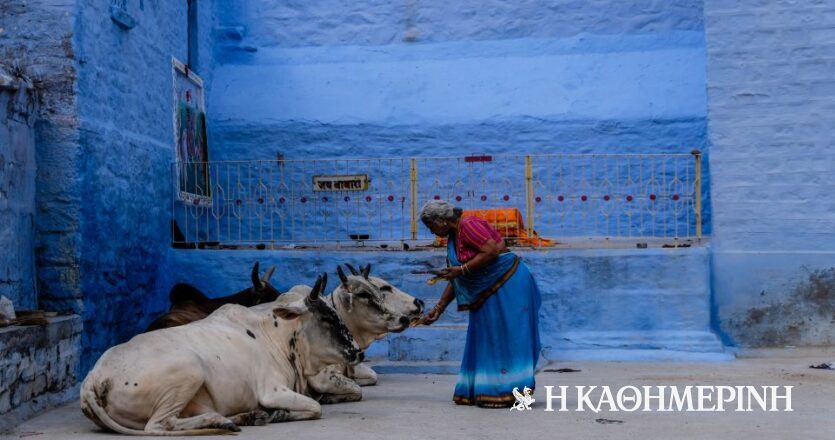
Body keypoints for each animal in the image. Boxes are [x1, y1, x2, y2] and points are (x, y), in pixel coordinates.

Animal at [79, 276, 362, 436]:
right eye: (327, 318)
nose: (358, 351)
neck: (276, 336)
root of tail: (93, 377)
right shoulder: (271, 391)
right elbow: (315, 407)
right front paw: (280, 414)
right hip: (190, 369)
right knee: (159, 425)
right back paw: (222, 421)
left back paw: (245, 417)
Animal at [298, 262, 424, 404]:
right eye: (363, 294)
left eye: (378, 291)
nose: (404, 319)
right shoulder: (322, 378)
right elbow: (357, 390)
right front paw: (325, 397)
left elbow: (371, 377)